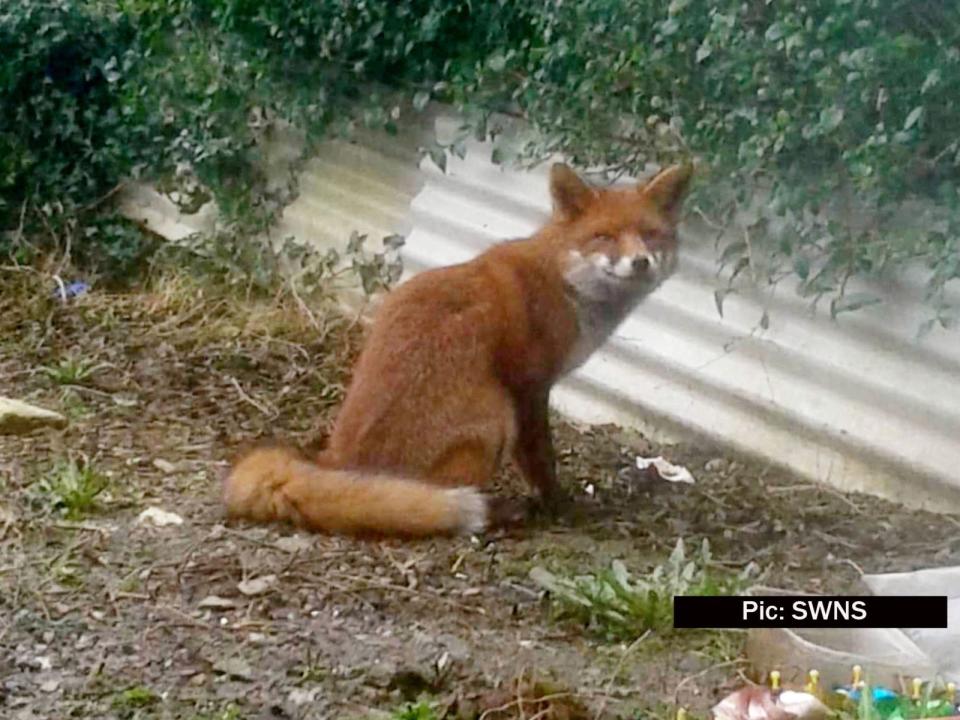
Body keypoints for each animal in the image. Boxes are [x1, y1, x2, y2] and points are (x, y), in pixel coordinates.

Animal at [221, 160, 692, 536]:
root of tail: (337, 462)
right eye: (604, 237)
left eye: (651, 235)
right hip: (494, 416)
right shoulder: (528, 387)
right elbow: (542, 460)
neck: (563, 284)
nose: (641, 263)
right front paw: (559, 507)